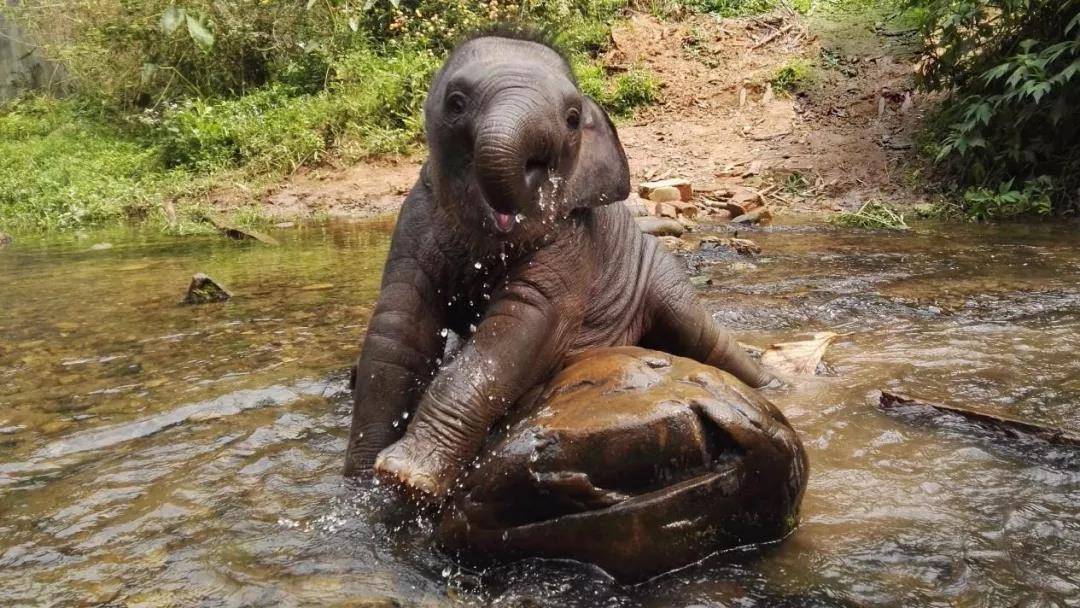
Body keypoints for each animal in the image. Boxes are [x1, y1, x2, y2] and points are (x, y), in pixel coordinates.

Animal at [345, 30, 777, 498]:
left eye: (572, 119)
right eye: (456, 103)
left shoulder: (572, 237)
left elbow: (520, 325)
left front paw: (409, 476)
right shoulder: (416, 216)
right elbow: (398, 326)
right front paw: (366, 484)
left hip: (662, 275)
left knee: (702, 336)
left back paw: (775, 382)